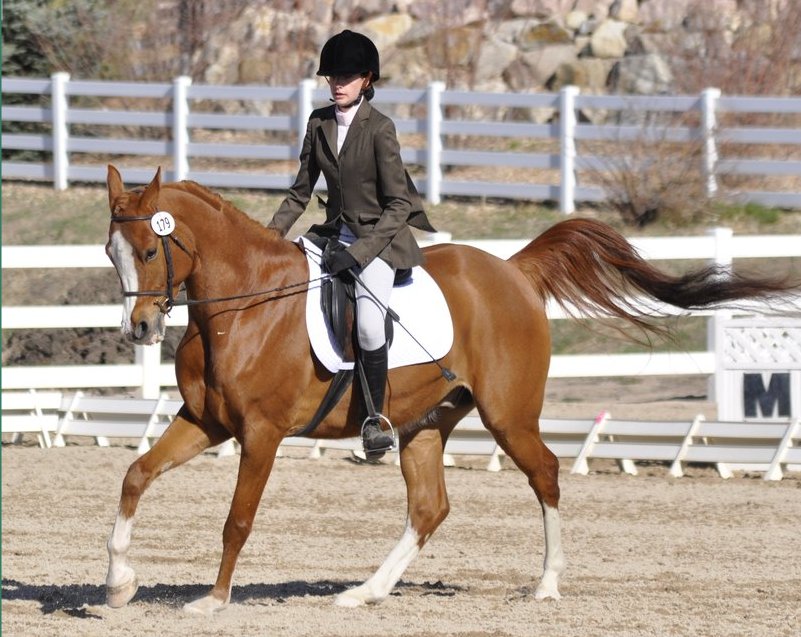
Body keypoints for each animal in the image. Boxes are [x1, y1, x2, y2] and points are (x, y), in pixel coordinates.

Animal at [101, 165, 792, 616]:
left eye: (149, 250)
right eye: (112, 254)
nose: (140, 330)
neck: (242, 307)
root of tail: (513, 270)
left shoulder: (262, 435)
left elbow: (237, 519)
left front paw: (212, 602)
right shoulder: (206, 423)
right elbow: (135, 476)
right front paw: (118, 583)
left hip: (508, 416)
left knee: (545, 475)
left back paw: (546, 585)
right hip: (423, 425)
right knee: (429, 507)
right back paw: (366, 592)